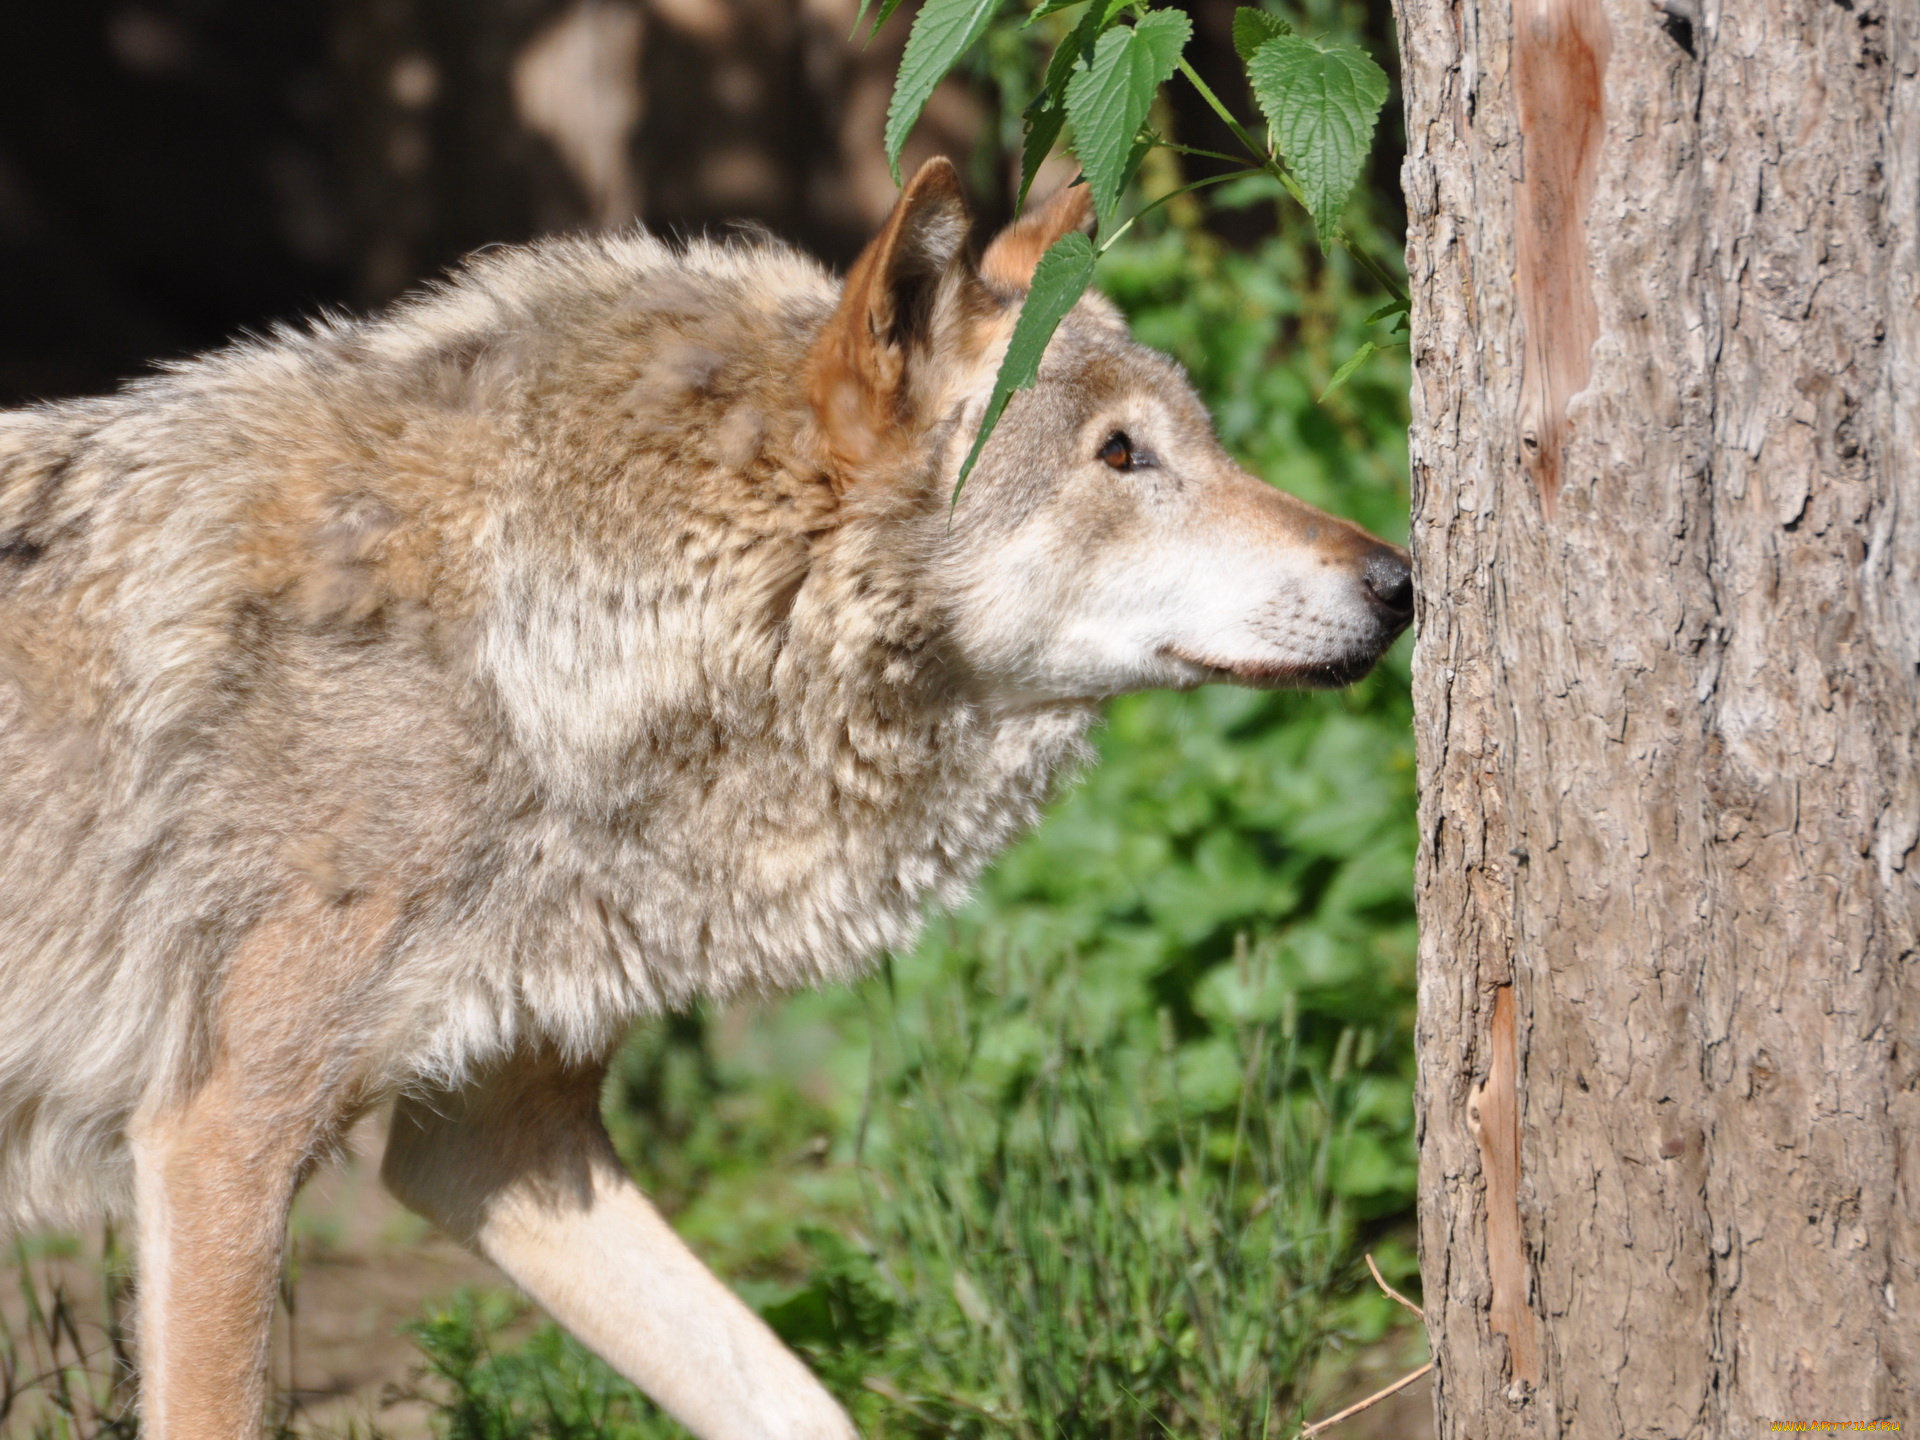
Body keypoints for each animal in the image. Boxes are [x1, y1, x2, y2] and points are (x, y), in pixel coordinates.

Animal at [0, 160, 1413, 1440]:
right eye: (1122, 456)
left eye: (1205, 440)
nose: (1400, 579)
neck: (540, 637)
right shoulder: (219, 1138)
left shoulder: (498, 1141)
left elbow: (795, 1402)